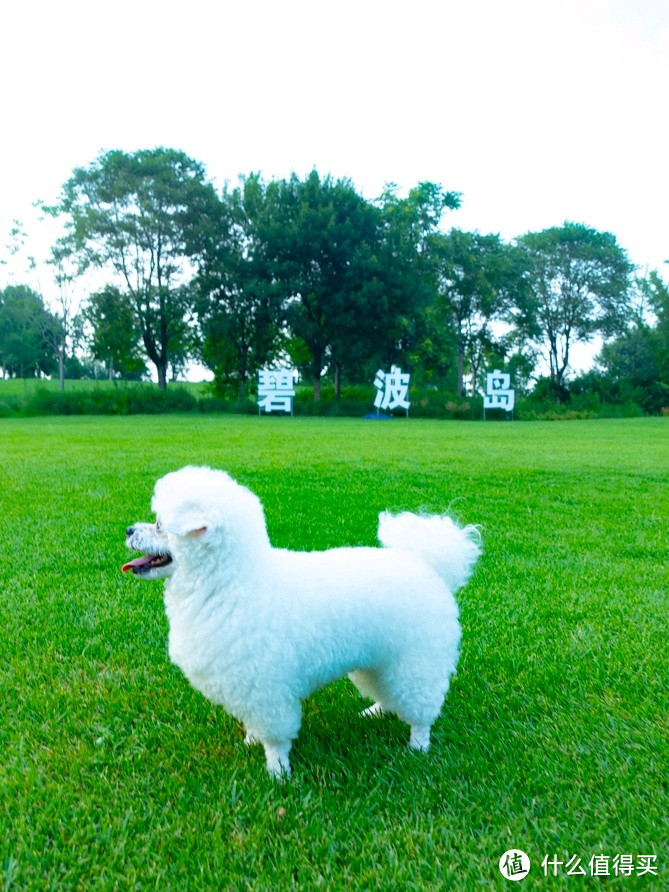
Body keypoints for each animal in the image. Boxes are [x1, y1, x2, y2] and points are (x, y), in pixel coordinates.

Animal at [122, 466, 480, 772]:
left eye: (159, 525)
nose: (128, 530)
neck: (229, 582)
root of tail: (426, 563)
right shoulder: (246, 683)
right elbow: (254, 725)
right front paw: (250, 742)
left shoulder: (268, 688)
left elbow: (276, 737)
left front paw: (277, 771)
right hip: (380, 660)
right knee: (386, 690)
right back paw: (376, 712)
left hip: (416, 661)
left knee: (421, 710)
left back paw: (417, 746)